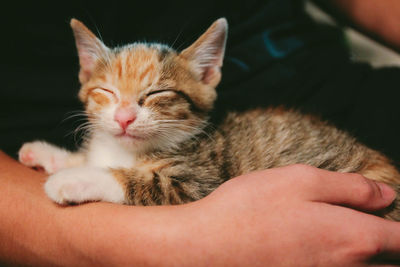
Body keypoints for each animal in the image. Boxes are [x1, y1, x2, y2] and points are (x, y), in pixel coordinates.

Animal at [18, 18, 400, 220]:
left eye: (157, 94)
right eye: (107, 92)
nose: (125, 118)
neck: (127, 150)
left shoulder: (198, 181)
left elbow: (135, 181)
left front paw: (71, 179)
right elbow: (92, 157)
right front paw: (50, 154)